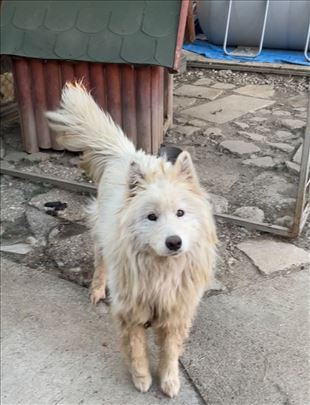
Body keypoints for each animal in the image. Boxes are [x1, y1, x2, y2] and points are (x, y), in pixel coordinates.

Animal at [46, 82, 218, 398]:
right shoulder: (130, 313)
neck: (160, 271)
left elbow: (169, 353)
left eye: (180, 213)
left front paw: (169, 381)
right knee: (100, 263)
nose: (174, 242)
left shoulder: (175, 313)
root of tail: (126, 153)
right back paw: (97, 290)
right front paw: (141, 379)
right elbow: (137, 352)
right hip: (101, 238)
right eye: (151, 217)